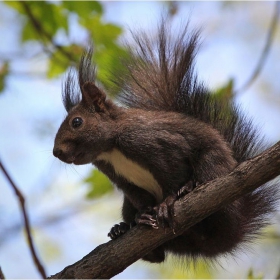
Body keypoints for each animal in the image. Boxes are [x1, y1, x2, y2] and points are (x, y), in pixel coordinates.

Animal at [52, 20, 278, 264]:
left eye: (77, 122)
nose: (57, 152)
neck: (111, 149)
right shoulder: (119, 177)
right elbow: (138, 196)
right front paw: (142, 216)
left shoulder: (155, 144)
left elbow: (173, 174)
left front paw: (168, 201)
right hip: (129, 206)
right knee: (158, 255)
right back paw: (122, 229)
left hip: (213, 169)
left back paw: (190, 190)